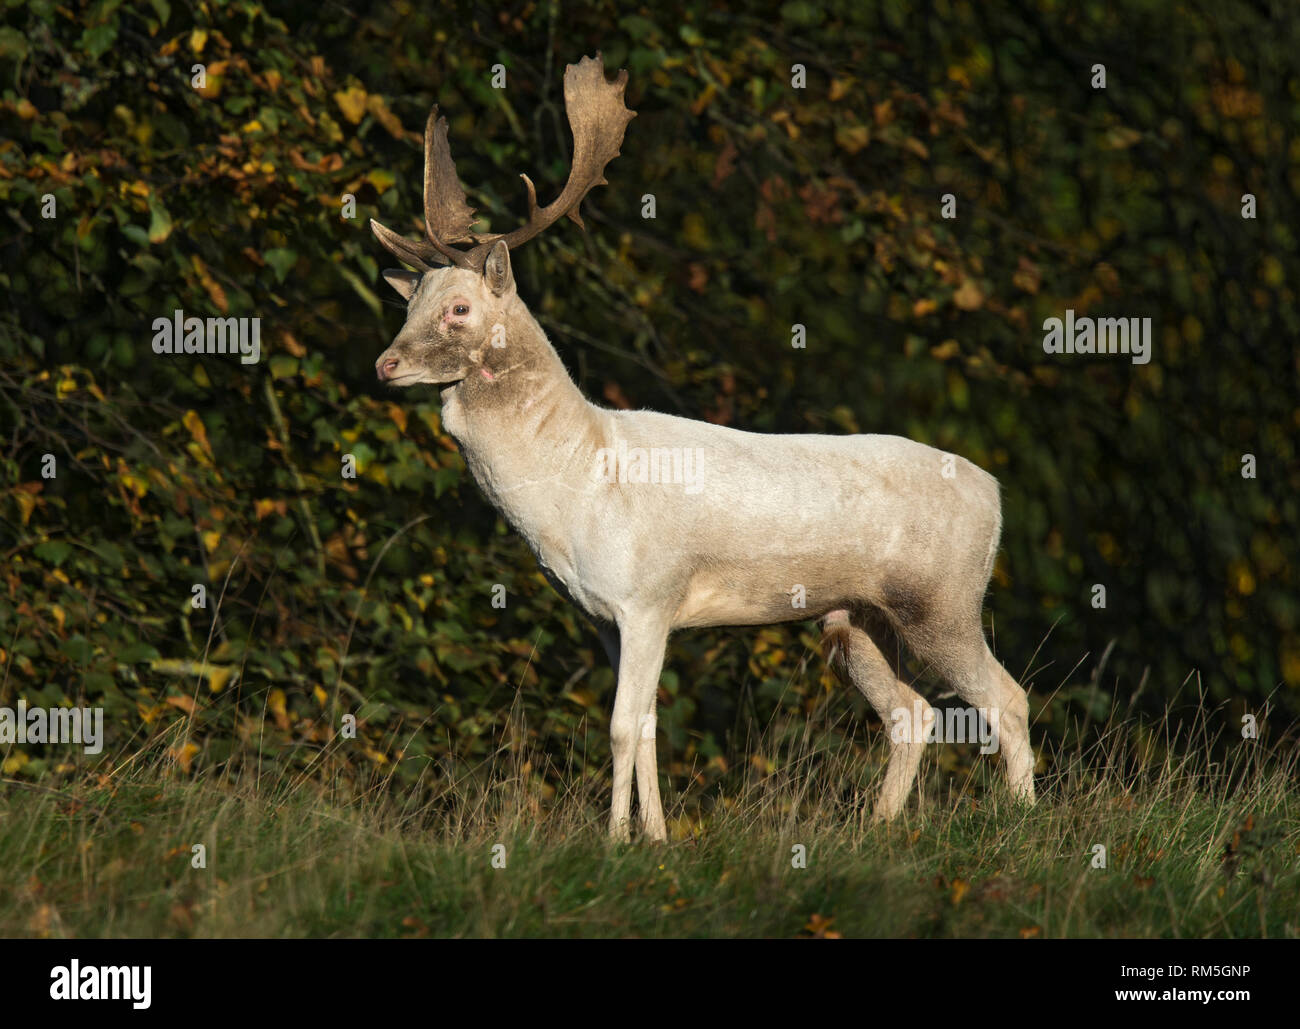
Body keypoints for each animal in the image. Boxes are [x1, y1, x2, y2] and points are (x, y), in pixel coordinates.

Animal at [368, 54, 1035, 842]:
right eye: (408, 301)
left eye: (459, 307)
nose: (385, 363)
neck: (579, 483)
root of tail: (997, 494)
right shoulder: (607, 619)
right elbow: (648, 726)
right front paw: (656, 838)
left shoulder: (649, 594)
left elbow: (621, 727)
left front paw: (615, 840)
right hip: (856, 617)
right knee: (913, 712)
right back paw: (878, 827)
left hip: (943, 599)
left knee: (1008, 698)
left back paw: (1025, 824)